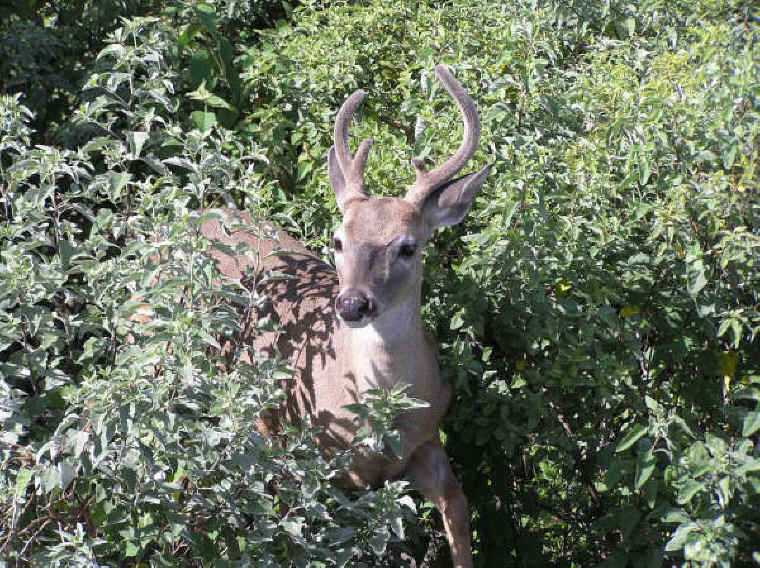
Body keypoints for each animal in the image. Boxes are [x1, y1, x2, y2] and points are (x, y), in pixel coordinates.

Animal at [186, 65, 490, 567]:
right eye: (337, 240)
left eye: (408, 247)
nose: (352, 304)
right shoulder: (308, 453)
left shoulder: (426, 439)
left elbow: (458, 511)